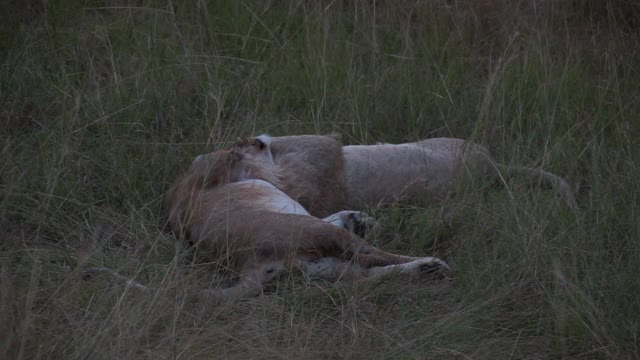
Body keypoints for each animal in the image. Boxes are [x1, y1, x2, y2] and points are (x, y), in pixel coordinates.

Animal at [164, 143, 450, 298]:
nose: (255, 145)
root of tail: (251, 265)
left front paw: (357, 218)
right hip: (321, 235)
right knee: (376, 257)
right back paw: (433, 263)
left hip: (328, 266)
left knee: (371, 273)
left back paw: (427, 269)